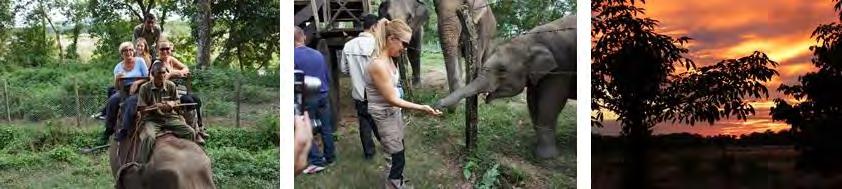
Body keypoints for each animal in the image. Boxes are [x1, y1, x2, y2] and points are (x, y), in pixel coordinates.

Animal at [434, 15, 576, 159]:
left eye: (502, 70)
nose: (437, 104)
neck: (529, 41)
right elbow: (532, 101)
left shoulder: (561, 69)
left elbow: (549, 103)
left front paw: (545, 156)